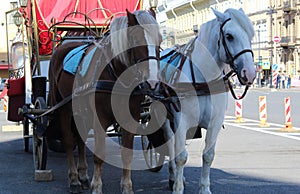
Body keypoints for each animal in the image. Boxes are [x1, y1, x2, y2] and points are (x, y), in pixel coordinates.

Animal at [48, 10, 162, 194]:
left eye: (159, 40)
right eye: (136, 40)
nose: (152, 83)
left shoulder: (130, 118)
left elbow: (127, 155)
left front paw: (126, 186)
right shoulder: (99, 118)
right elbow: (99, 153)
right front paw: (97, 186)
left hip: (81, 111)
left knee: (80, 138)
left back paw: (83, 175)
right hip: (64, 107)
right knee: (69, 141)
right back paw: (74, 179)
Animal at [159, 8, 255, 193]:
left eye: (251, 35)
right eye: (229, 36)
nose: (250, 73)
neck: (204, 81)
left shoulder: (214, 123)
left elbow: (208, 155)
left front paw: (204, 188)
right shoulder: (182, 121)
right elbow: (181, 157)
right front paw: (178, 188)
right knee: (171, 144)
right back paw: (173, 177)